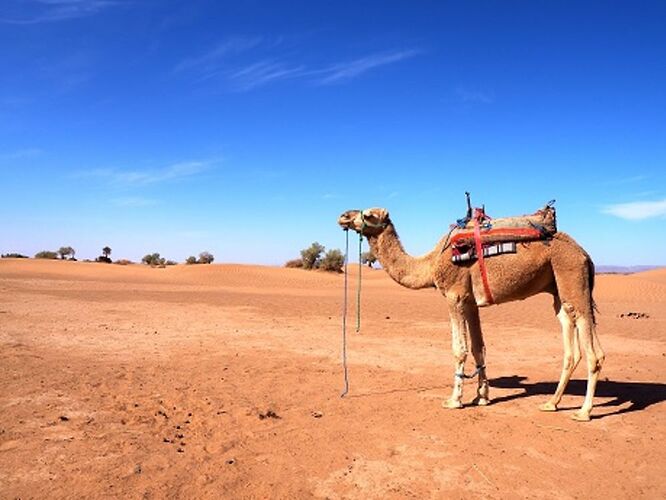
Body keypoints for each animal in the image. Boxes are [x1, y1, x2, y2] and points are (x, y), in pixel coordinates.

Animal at [338, 207, 600, 422]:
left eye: (369, 214)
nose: (343, 216)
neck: (431, 263)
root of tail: (586, 255)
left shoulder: (455, 297)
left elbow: (459, 349)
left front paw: (454, 400)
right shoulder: (471, 303)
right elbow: (478, 347)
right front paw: (481, 397)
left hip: (571, 276)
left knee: (592, 350)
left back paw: (584, 412)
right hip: (560, 289)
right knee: (571, 334)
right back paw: (551, 403)